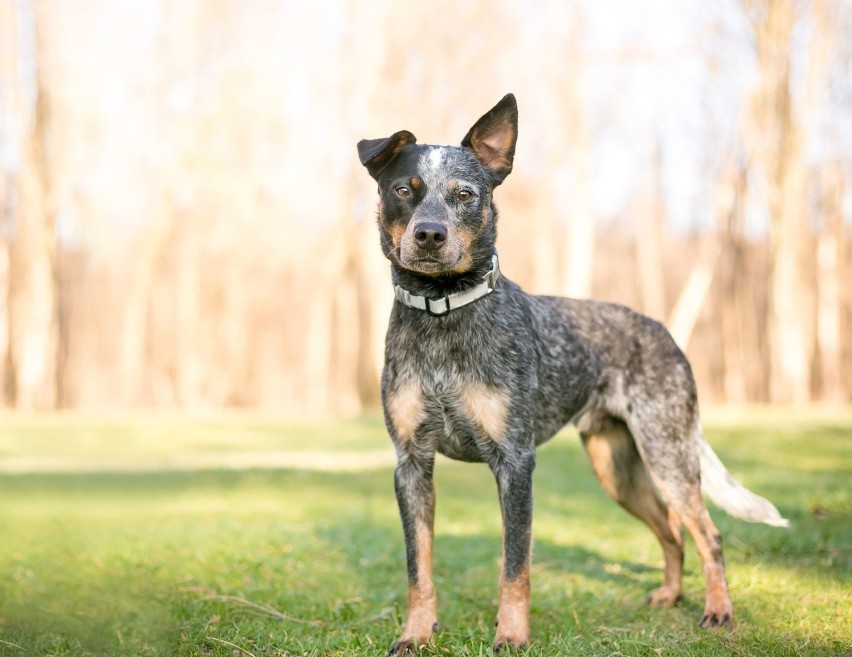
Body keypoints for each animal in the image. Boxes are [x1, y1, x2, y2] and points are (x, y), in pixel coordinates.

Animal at [354, 95, 784, 652]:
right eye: (403, 190)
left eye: (465, 194)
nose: (430, 234)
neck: (442, 313)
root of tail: (664, 333)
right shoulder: (411, 464)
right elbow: (418, 568)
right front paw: (416, 634)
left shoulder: (515, 462)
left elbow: (515, 567)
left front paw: (512, 636)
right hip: (616, 467)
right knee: (670, 530)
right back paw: (670, 596)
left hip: (667, 454)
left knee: (707, 533)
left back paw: (718, 610)